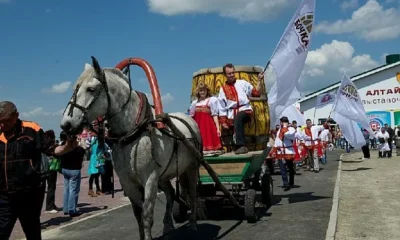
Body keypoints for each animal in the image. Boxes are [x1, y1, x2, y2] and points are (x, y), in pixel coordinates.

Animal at [60, 56, 200, 240]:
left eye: (90, 89)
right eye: (74, 89)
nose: (66, 124)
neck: (132, 131)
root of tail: (188, 118)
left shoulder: (150, 179)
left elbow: (146, 216)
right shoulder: (128, 182)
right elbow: (137, 214)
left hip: (191, 167)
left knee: (193, 193)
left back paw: (193, 224)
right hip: (164, 175)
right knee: (170, 194)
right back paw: (168, 225)